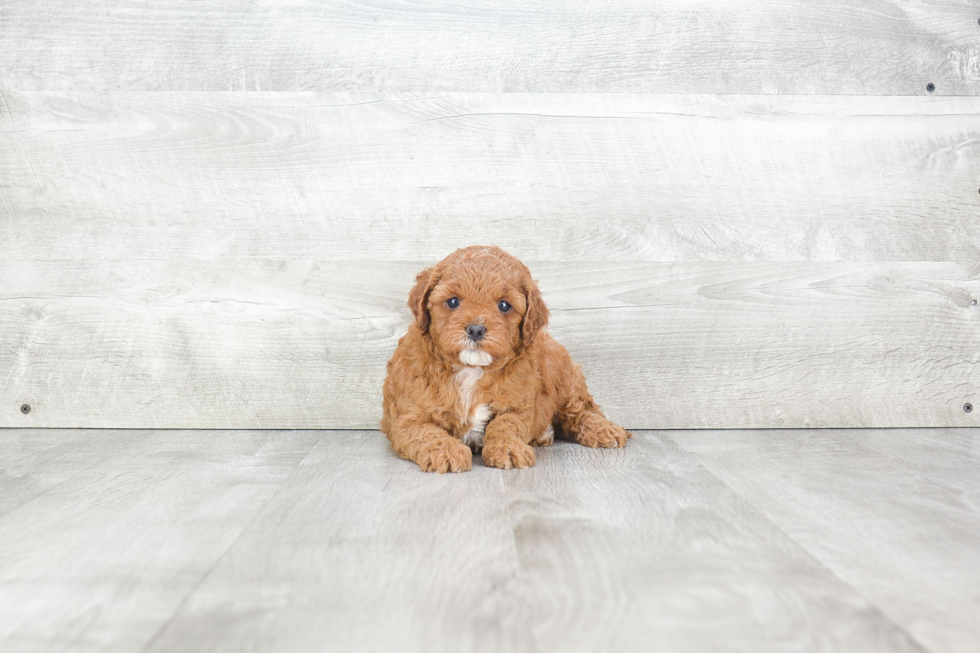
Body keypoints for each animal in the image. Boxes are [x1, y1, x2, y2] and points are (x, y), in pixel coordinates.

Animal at [378, 243, 632, 468]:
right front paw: (447, 453)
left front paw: (508, 449)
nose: (476, 329)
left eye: (504, 305)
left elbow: (505, 424)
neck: (471, 369)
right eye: (452, 301)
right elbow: (427, 432)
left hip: (566, 378)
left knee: (583, 410)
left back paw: (604, 430)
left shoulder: (518, 405)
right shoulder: (408, 415)